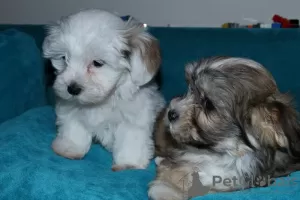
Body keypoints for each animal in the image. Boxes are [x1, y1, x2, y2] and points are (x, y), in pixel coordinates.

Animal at [42, 9, 164, 171]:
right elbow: (74, 127)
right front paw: (70, 148)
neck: (104, 100)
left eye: (97, 63)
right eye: (64, 58)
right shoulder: (72, 110)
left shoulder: (134, 119)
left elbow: (130, 139)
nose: (72, 89)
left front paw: (129, 162)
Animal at [149, 56, 300, 200]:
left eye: (208, 104)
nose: (170, 113)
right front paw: (166, 189)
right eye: (190, 89)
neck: (222, 155)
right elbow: (176, 169)